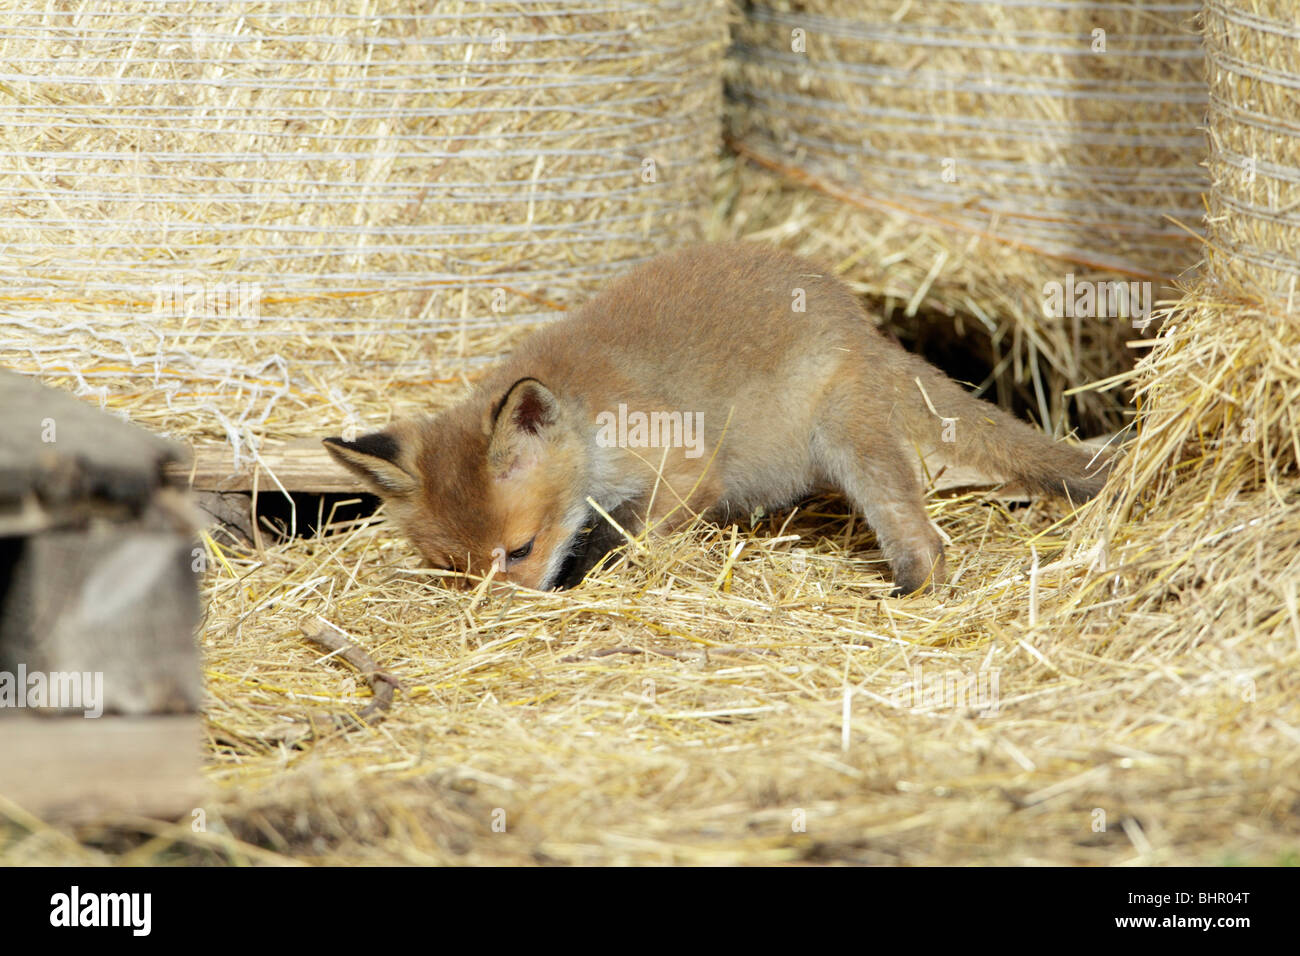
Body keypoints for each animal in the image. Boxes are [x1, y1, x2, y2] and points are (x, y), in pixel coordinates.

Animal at [325, 243, 1107, 595]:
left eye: (519, 551)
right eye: (454, 571)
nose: (503, 618)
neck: (591, 417)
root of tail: (865, 327)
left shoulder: (687, 469)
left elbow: (623, 536)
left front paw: (588, 577)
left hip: (849, 442)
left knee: (923, 537)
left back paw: (915, 585)